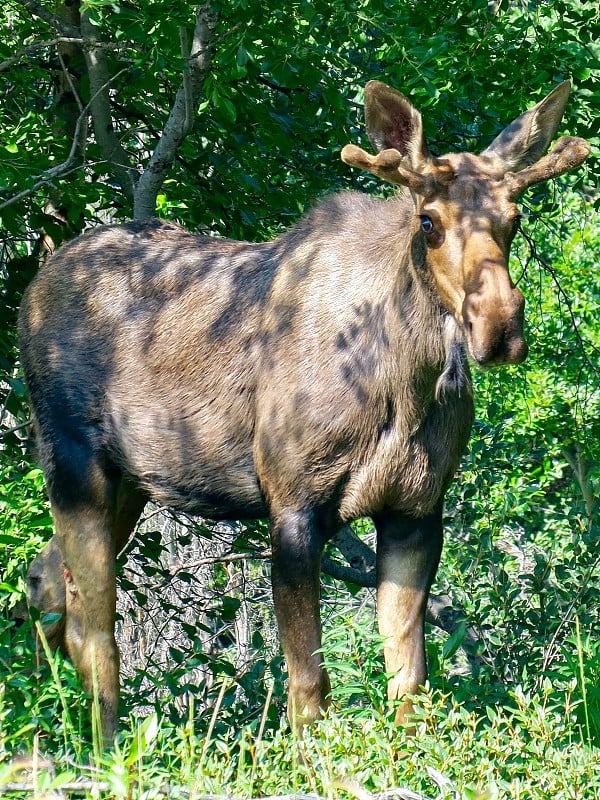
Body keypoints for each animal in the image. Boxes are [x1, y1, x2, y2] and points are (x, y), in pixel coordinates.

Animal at [19, 78, 592, 740]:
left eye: (514, 218)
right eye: (427, 221)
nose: (497, 327)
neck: (407, 386)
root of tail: (33, 289)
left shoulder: (416, 509)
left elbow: (408, 680)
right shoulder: (293, 504)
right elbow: (308, 687)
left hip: (131, 482)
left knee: (45, 579)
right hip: (72, 459)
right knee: (95, 621)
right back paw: (102, 745)